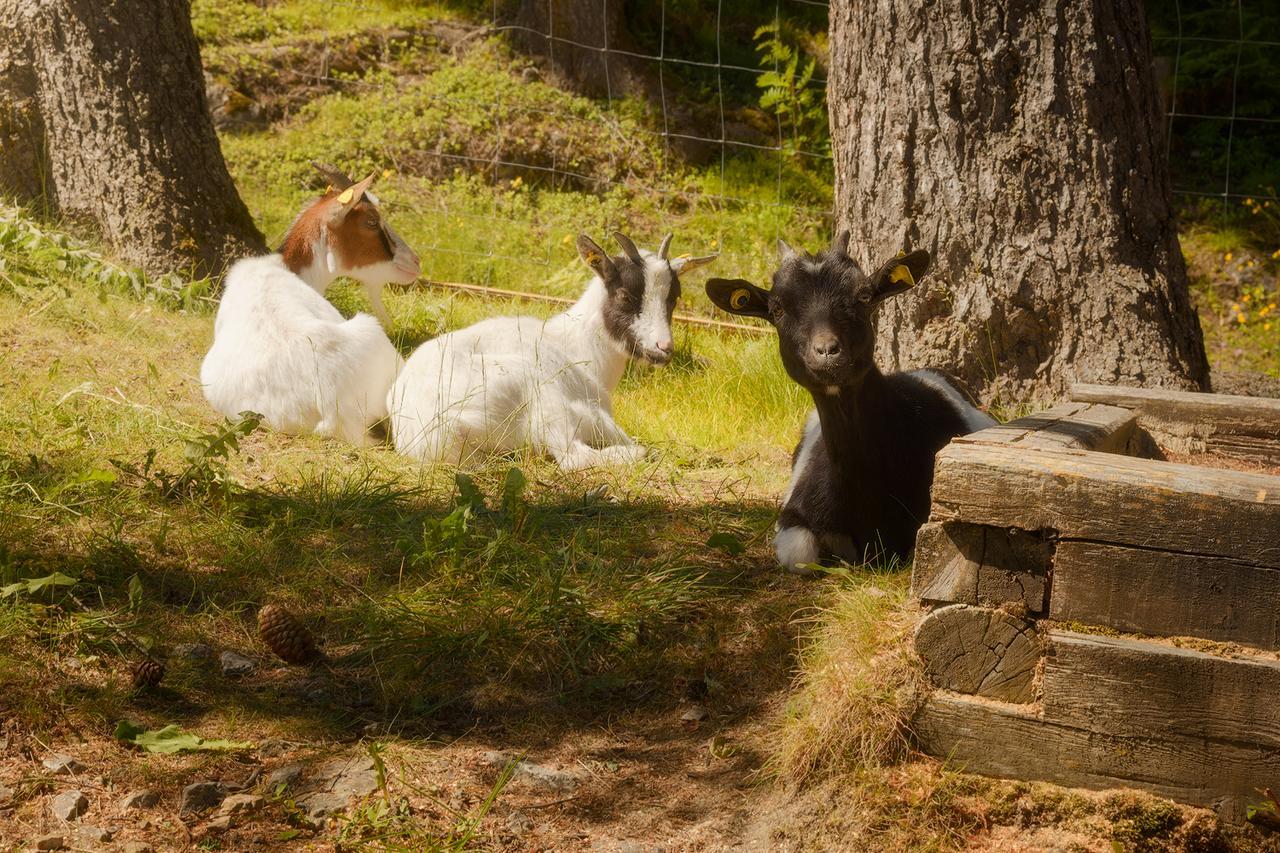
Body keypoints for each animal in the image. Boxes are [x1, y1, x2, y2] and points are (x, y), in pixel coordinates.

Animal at [384, 229, 716, 468]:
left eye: (674, 297)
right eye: (624, 294)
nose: (663, 348)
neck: (577, 344)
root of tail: (436, 433)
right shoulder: (592, 410)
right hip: (539, 395)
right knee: (573, 456)